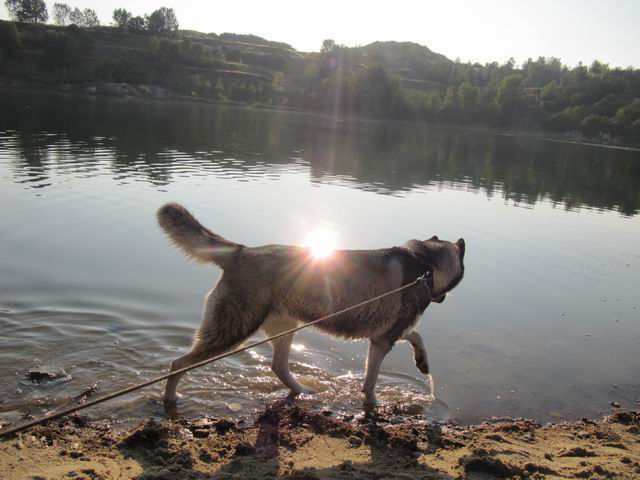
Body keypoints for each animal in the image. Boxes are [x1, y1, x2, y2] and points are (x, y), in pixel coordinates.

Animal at [156, 202, 464, 404]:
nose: (443, 298)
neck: (426, 262)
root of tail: (240, 252)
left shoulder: (385, 334)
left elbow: (415, 335)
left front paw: (422, 361)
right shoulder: (382, 340)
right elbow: (371, 381)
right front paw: (374, 406)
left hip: (282, 327)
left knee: (278, 367)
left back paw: (302, 391)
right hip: (232, 329)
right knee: (177, 364)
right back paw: (171, 398)